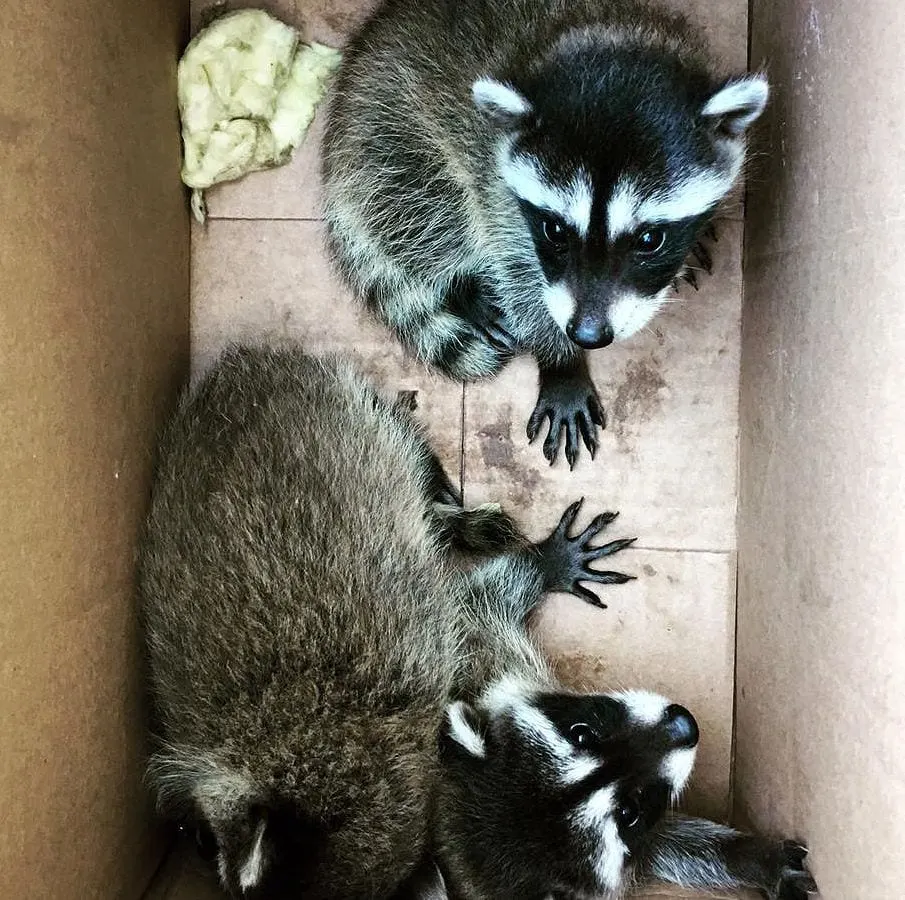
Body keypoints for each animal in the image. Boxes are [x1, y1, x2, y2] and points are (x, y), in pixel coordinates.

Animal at [138, 345, 814, 899]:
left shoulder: (462, 651)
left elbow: (481, 596)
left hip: (348, 419)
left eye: (584, 732)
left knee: (404, 452)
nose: (684, 723)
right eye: (631, 811)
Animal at [321, 0, 769, 468]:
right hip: (389, 137)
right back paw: (460, 284)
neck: (605, 34)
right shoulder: (494, 179)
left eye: (650, 239)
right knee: (419, 211)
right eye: (555, 229)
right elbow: (519, 273)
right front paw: (560, 361)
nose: (587, 336)